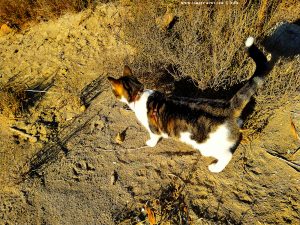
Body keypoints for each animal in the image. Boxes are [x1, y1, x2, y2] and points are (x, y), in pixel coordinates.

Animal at [108, 37, 270, 173]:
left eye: (114, 92)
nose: (114, 96)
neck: (138, 93)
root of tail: (228, 107)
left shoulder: (154, 129)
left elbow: (153, 138)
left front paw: (150, 143)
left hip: (208, 146)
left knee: (226, 155)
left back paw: (215, 168)